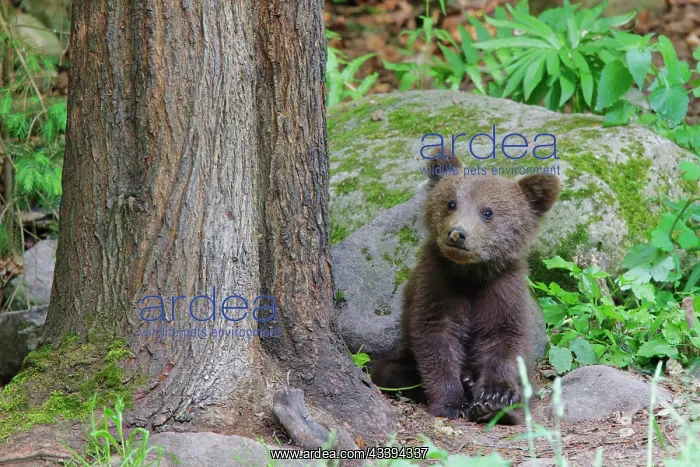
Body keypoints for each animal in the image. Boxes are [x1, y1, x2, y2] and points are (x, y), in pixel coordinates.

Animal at [370, 149, 560, 424]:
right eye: (451, 203)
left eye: (488, 212)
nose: (457, 233)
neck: (471, 275)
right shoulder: (436, 285)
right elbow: (436, 339)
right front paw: (451, 402)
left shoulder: (503, 289)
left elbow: (504, 338)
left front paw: (495, 397)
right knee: (390, 370)